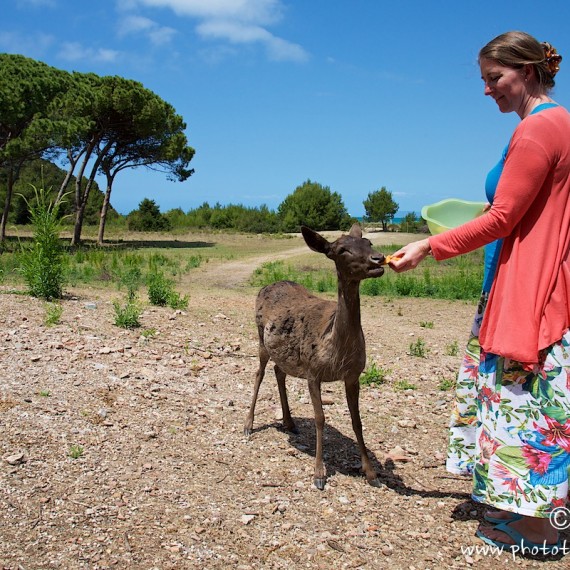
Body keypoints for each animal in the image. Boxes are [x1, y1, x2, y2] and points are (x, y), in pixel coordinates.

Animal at [242, 223, 384, 488]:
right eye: (341, 250)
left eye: (368, 242)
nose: (378, 259)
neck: (337, 350)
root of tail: (268, 285)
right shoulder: (312, 371)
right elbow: (320, 418)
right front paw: (318, 473)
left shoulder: (353, 375)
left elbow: (357, 421)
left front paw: (371, 474)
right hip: (260, 336)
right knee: (259, 373)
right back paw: (248, 425)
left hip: (284, 353)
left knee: (279, 371)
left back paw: (289, 422)